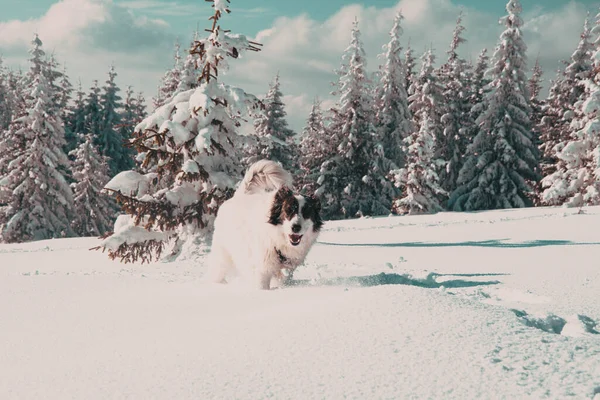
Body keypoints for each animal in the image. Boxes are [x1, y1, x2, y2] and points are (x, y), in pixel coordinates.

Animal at [207, 160, 324, 290]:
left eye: (306, 213)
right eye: (288, 211)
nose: (296, 227)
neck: (277, 240)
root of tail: (240, 195)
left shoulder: (285, 272)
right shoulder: (262, 271)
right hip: (223, 254)